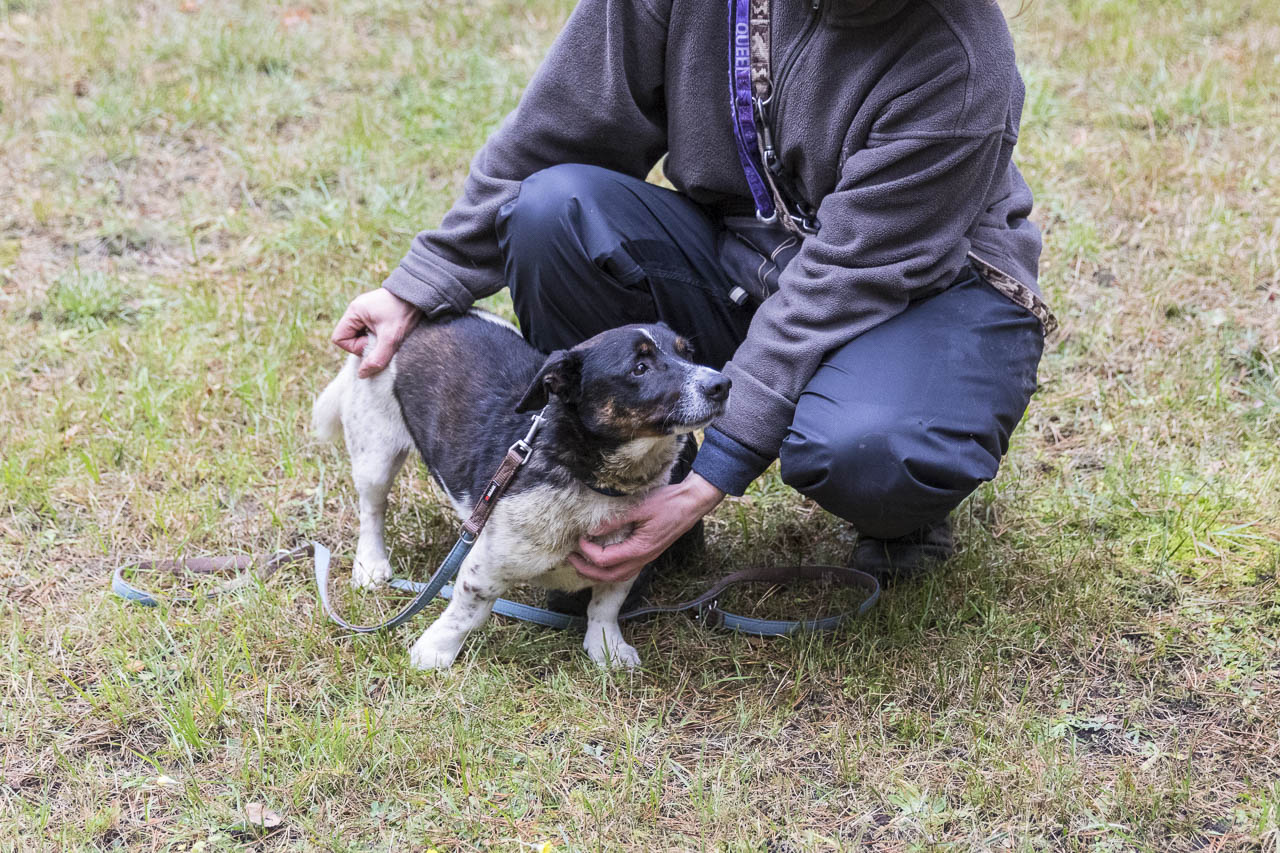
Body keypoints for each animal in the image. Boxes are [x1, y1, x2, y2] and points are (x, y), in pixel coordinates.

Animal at [311, 309, 730, 670]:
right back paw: (371, 564)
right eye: (639, 368)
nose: (722, 384)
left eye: (687, 353)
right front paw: (435, 651)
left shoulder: (626, 562)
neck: (592, 481)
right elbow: (465, 615)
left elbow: (604, 608)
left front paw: (606, 647)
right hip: (376, 451)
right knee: (372, 509)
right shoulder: (484, 567)